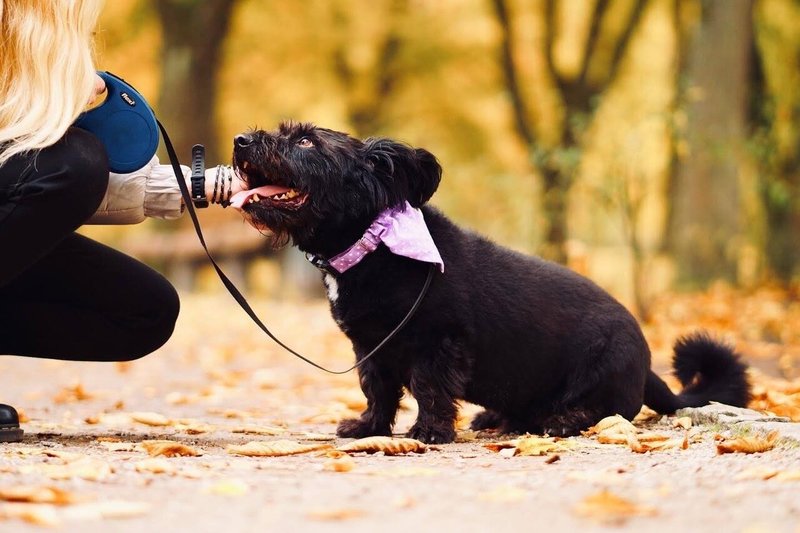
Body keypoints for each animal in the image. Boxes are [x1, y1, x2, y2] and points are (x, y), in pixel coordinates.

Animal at [230, 122, 752, 442]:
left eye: (306, 142)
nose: (240, 141)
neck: (374, 241)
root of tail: (646, 367)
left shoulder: (438, 342)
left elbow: (429, 389)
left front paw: (429, 433)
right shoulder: (370, 349)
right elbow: (377, 390)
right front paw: (369, 428)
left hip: (602, 370)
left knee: (604, 412)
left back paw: (561, 420)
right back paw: (497, 417)